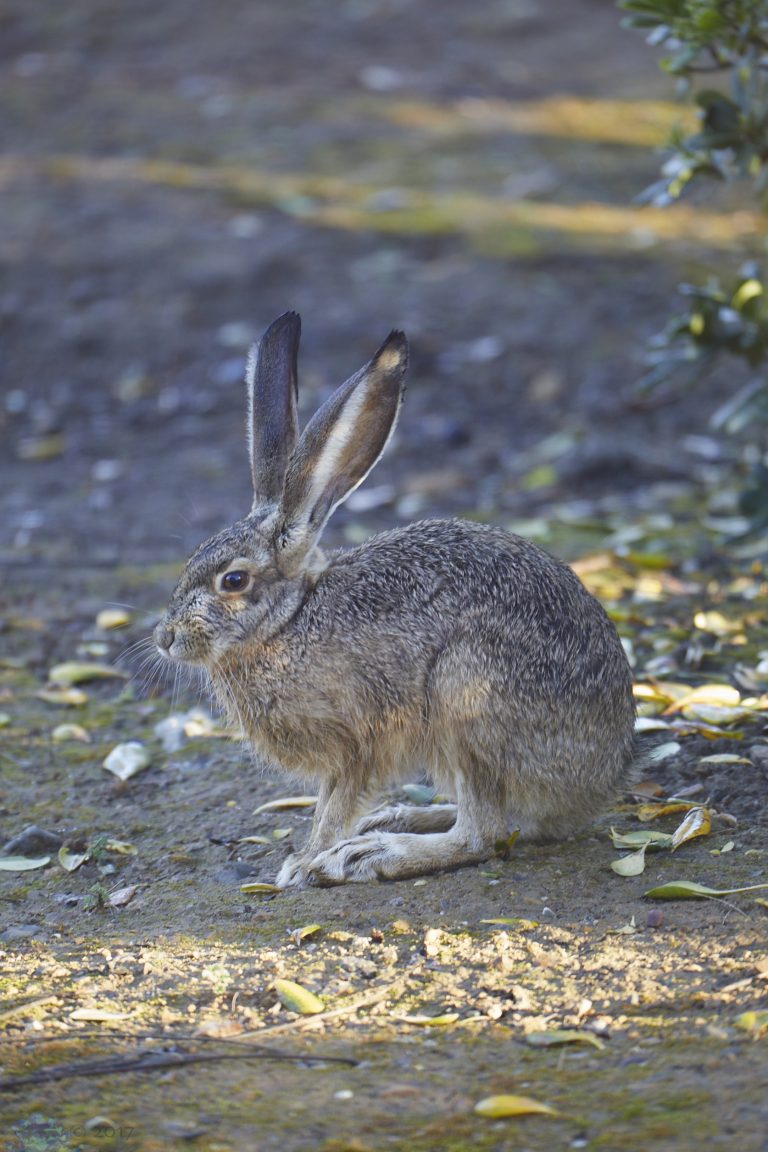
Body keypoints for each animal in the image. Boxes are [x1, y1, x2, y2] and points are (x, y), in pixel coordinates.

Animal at [154, 311, 636, 887]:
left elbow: (333, 805)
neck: (287, 623)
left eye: (233, 581)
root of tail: (600, 779)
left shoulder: (358, 740)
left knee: (484, 834)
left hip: (466, 695)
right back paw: (396, 819)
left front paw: (305, 862)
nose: (165, 638)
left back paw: (374, 854)